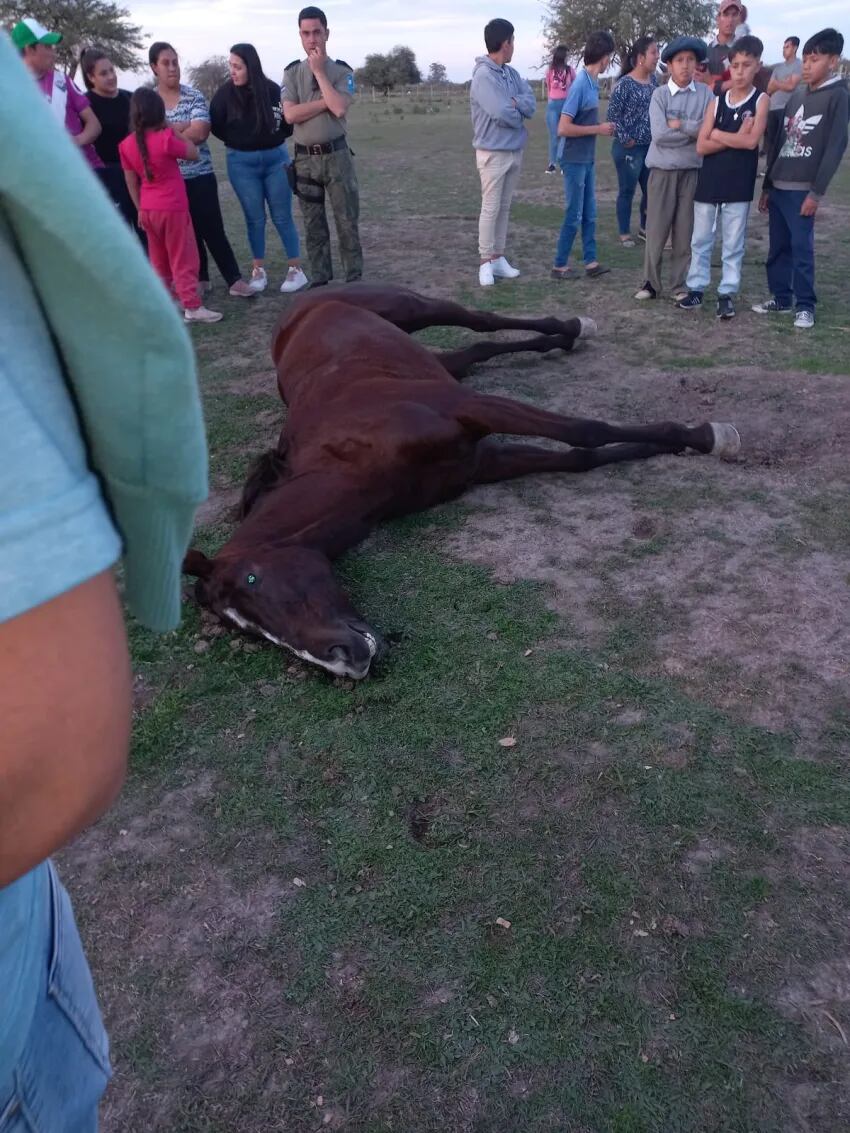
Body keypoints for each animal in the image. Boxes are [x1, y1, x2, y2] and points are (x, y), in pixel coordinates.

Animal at [184, 283, 738, 675]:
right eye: (248, 631)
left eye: (253, 580)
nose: (340, 660)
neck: (351, 459)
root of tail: (296, 308)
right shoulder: (483, 463)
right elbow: (581, 457)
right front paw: (663, 447)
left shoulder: (472, 409)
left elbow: (584, 430)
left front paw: (705, 436)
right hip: (437, 360)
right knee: (477, 352)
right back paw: (561, 339)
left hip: (409, 308)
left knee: (477, 319)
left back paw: (572, 325)